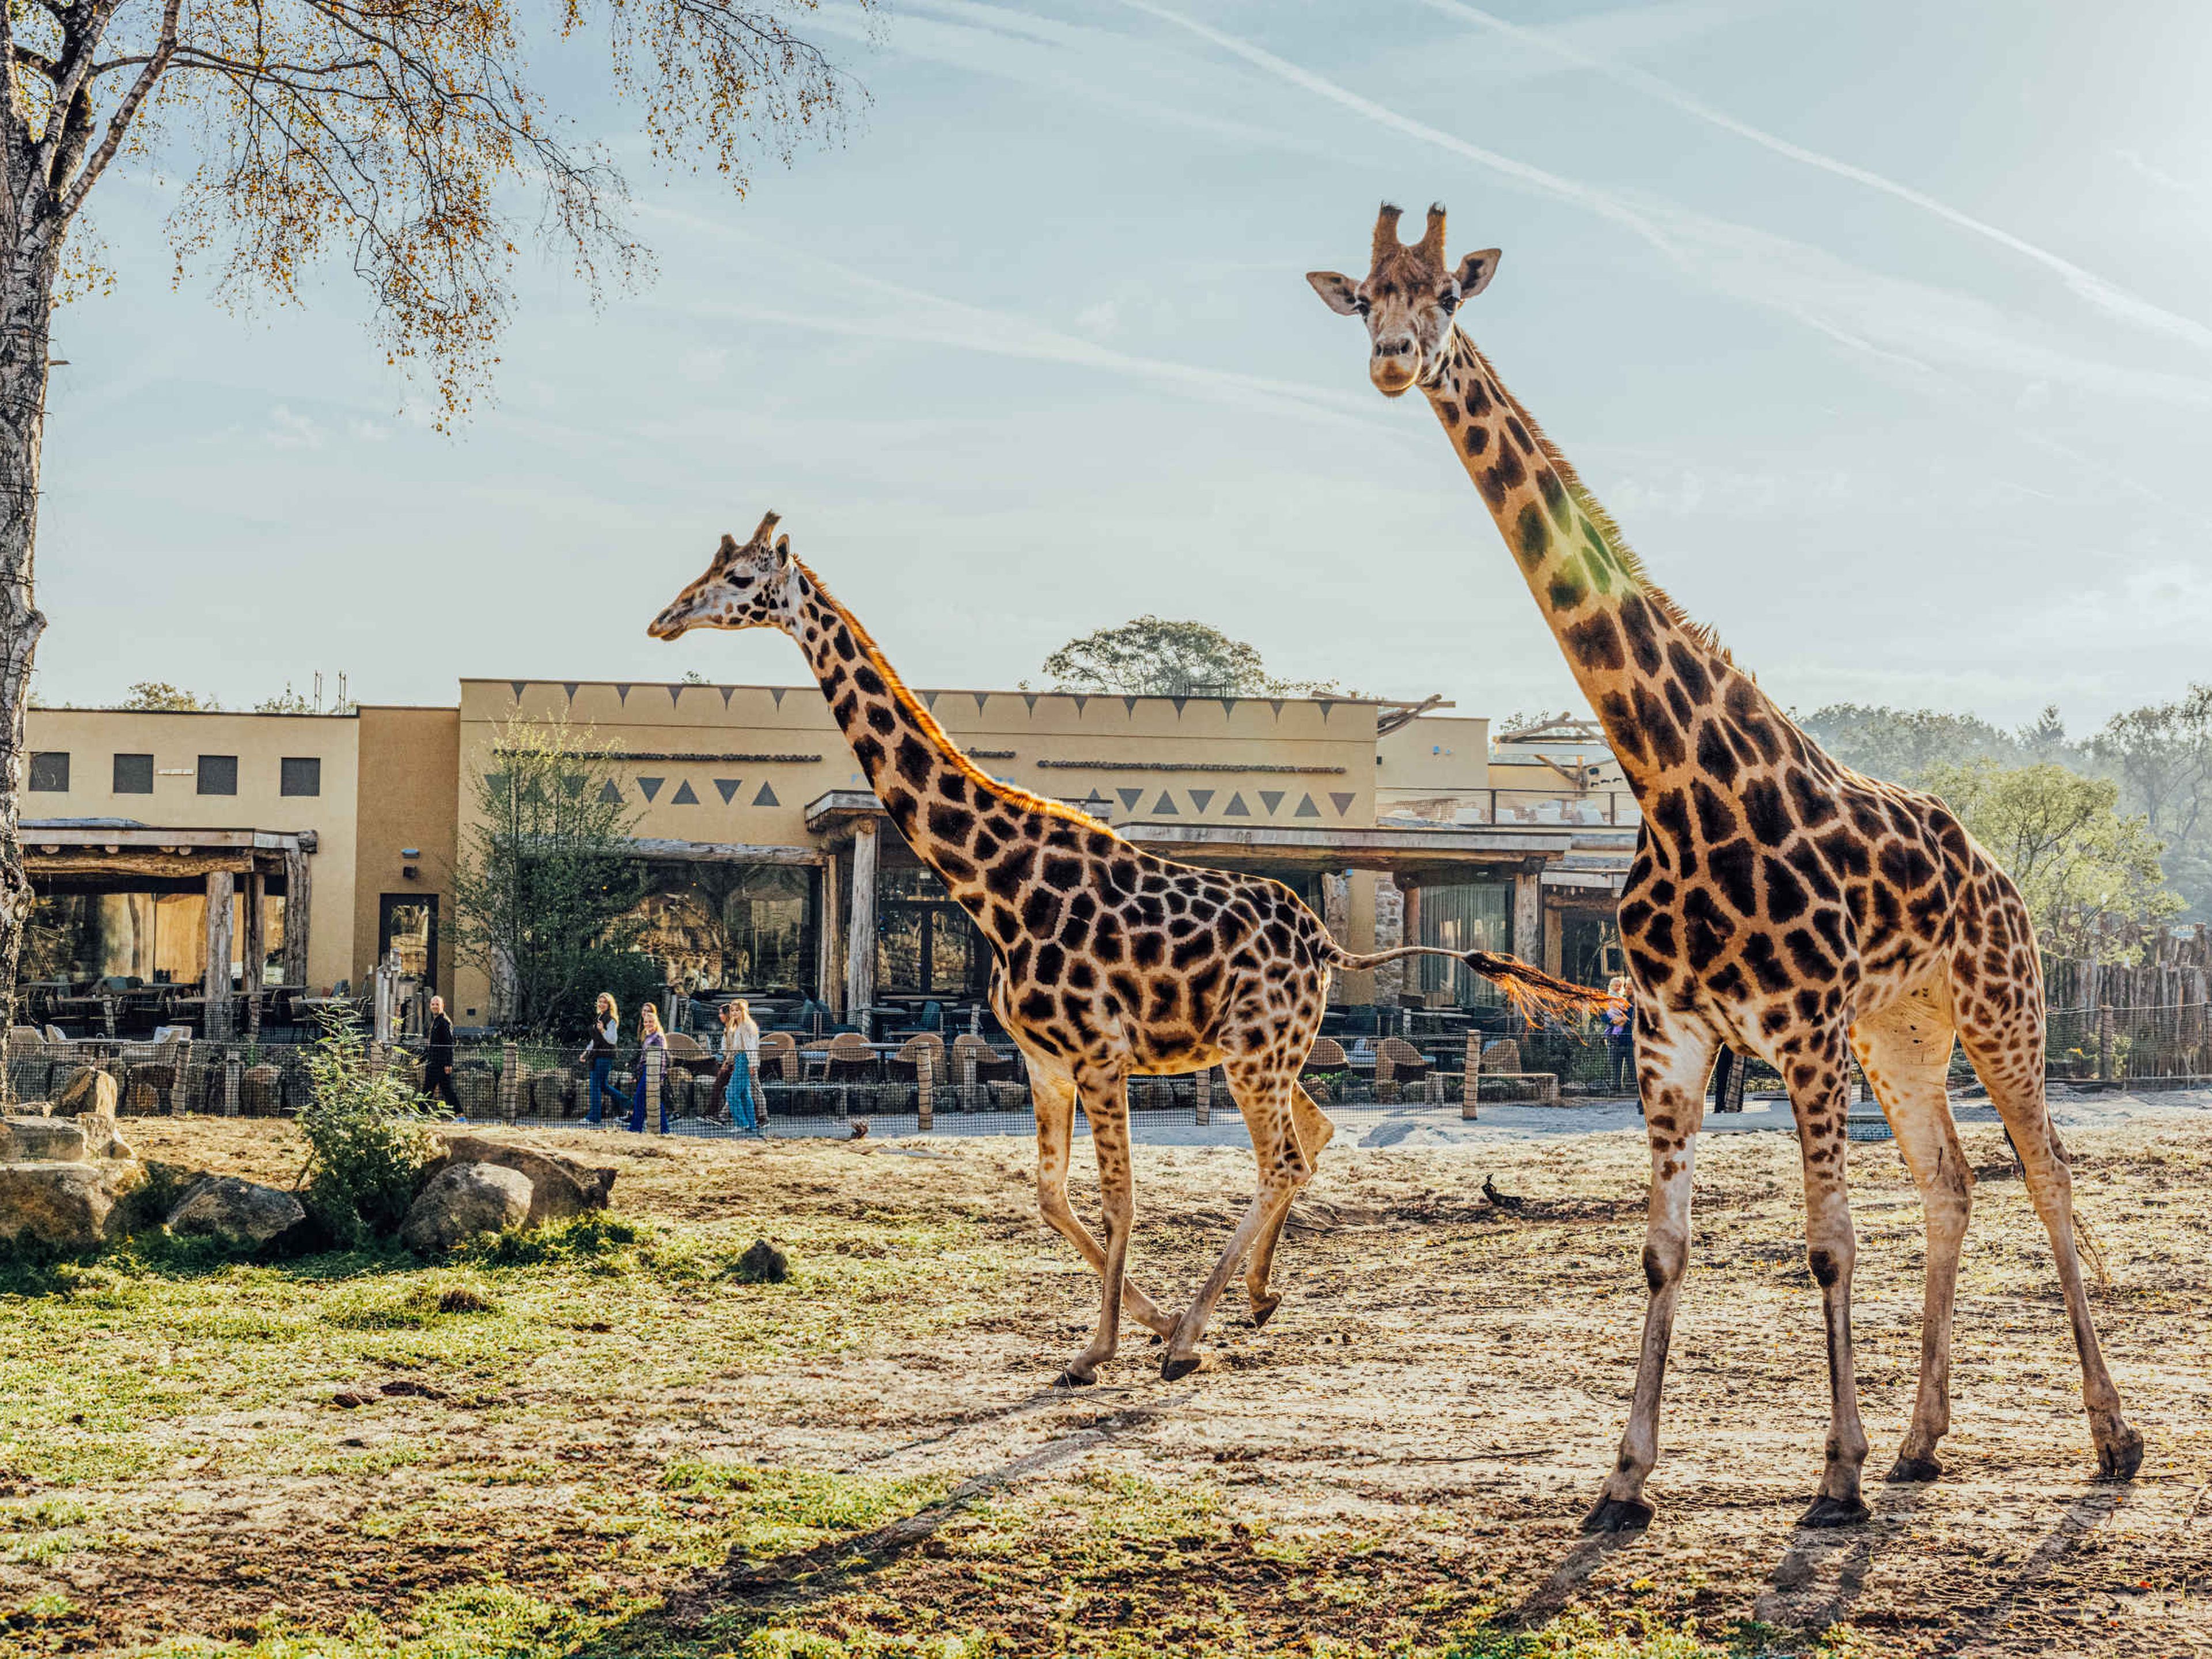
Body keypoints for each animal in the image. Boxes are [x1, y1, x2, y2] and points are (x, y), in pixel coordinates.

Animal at [648, 514, 1591, 1384]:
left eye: (739, 577)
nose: (664, 618)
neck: (997, 885)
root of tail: (1326, 942)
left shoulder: (1101, 1056)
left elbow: (1119, 1199)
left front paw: (1107, 1344)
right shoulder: (1045, 1062)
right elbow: (1049, 1196)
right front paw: (1133, 1324)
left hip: (1257, 1050)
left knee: (1284, 1157)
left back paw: (1191, 1339)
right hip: (1270, 1052)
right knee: (1311, 1138)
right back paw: (1253, 1300)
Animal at [1309, 203, 2143, 1531]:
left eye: (1445, 295)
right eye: (1367, 297)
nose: (1394, 359)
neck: (1669, 779)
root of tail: (2004, 878)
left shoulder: (1797, 1029)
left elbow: (1829, 1240)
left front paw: (1836, 1474)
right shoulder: (1671, 1029)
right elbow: (1664, 1247)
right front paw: (1626, 1476)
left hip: (2002, 1006)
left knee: (2046, 1174)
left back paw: (2111, 1439)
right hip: (1901, 1030)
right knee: (1952, 1183)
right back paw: (1924, 1444)